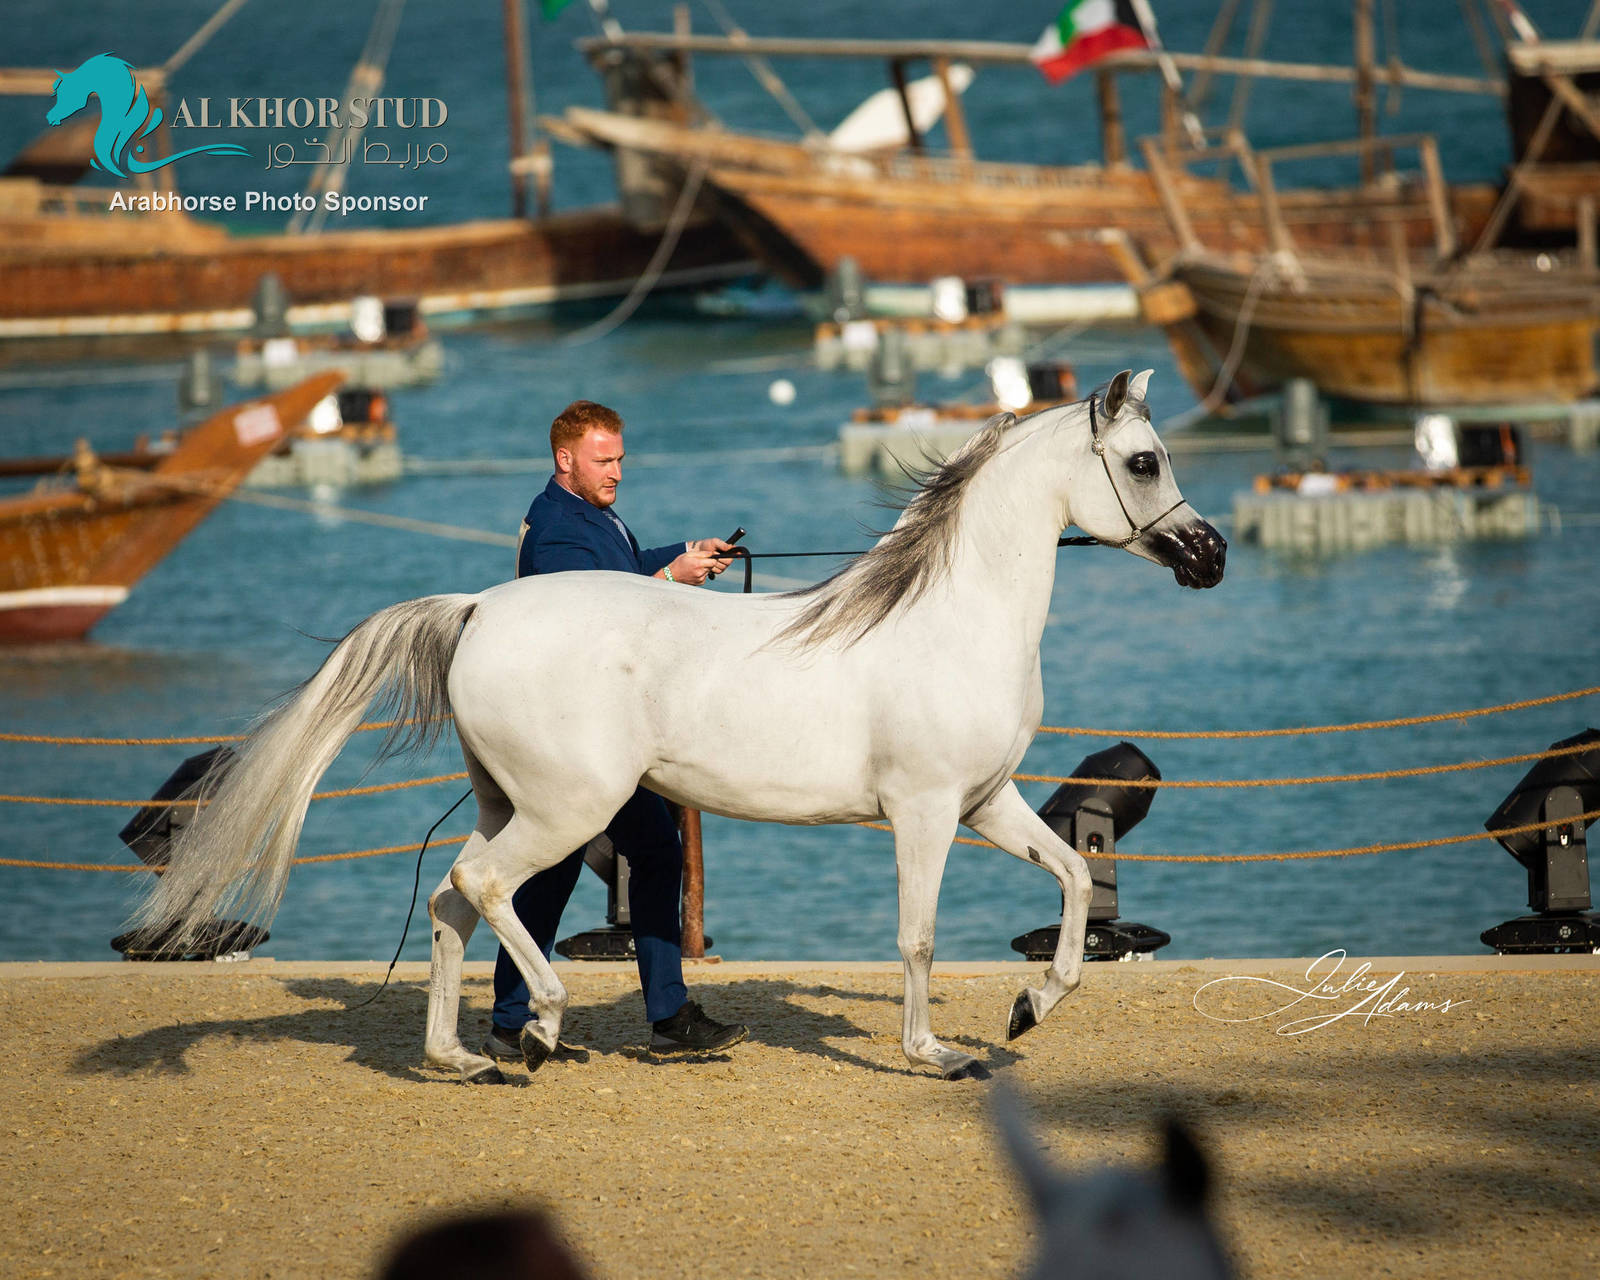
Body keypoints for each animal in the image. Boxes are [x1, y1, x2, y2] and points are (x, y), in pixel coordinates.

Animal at [128, 369, 1226, 1083]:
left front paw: (1029, 1008)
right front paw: (935, 1054)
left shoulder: (986, 802)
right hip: (567, 808)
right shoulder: (921, 813)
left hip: (514, 802)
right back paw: (539, 1030)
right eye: (1143, 459)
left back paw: (458, 1056)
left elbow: (1075, 878)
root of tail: (478, 607)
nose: (1210, 555)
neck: (948, 616)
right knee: (486, 887)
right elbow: (916, 938)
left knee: (450, 896)